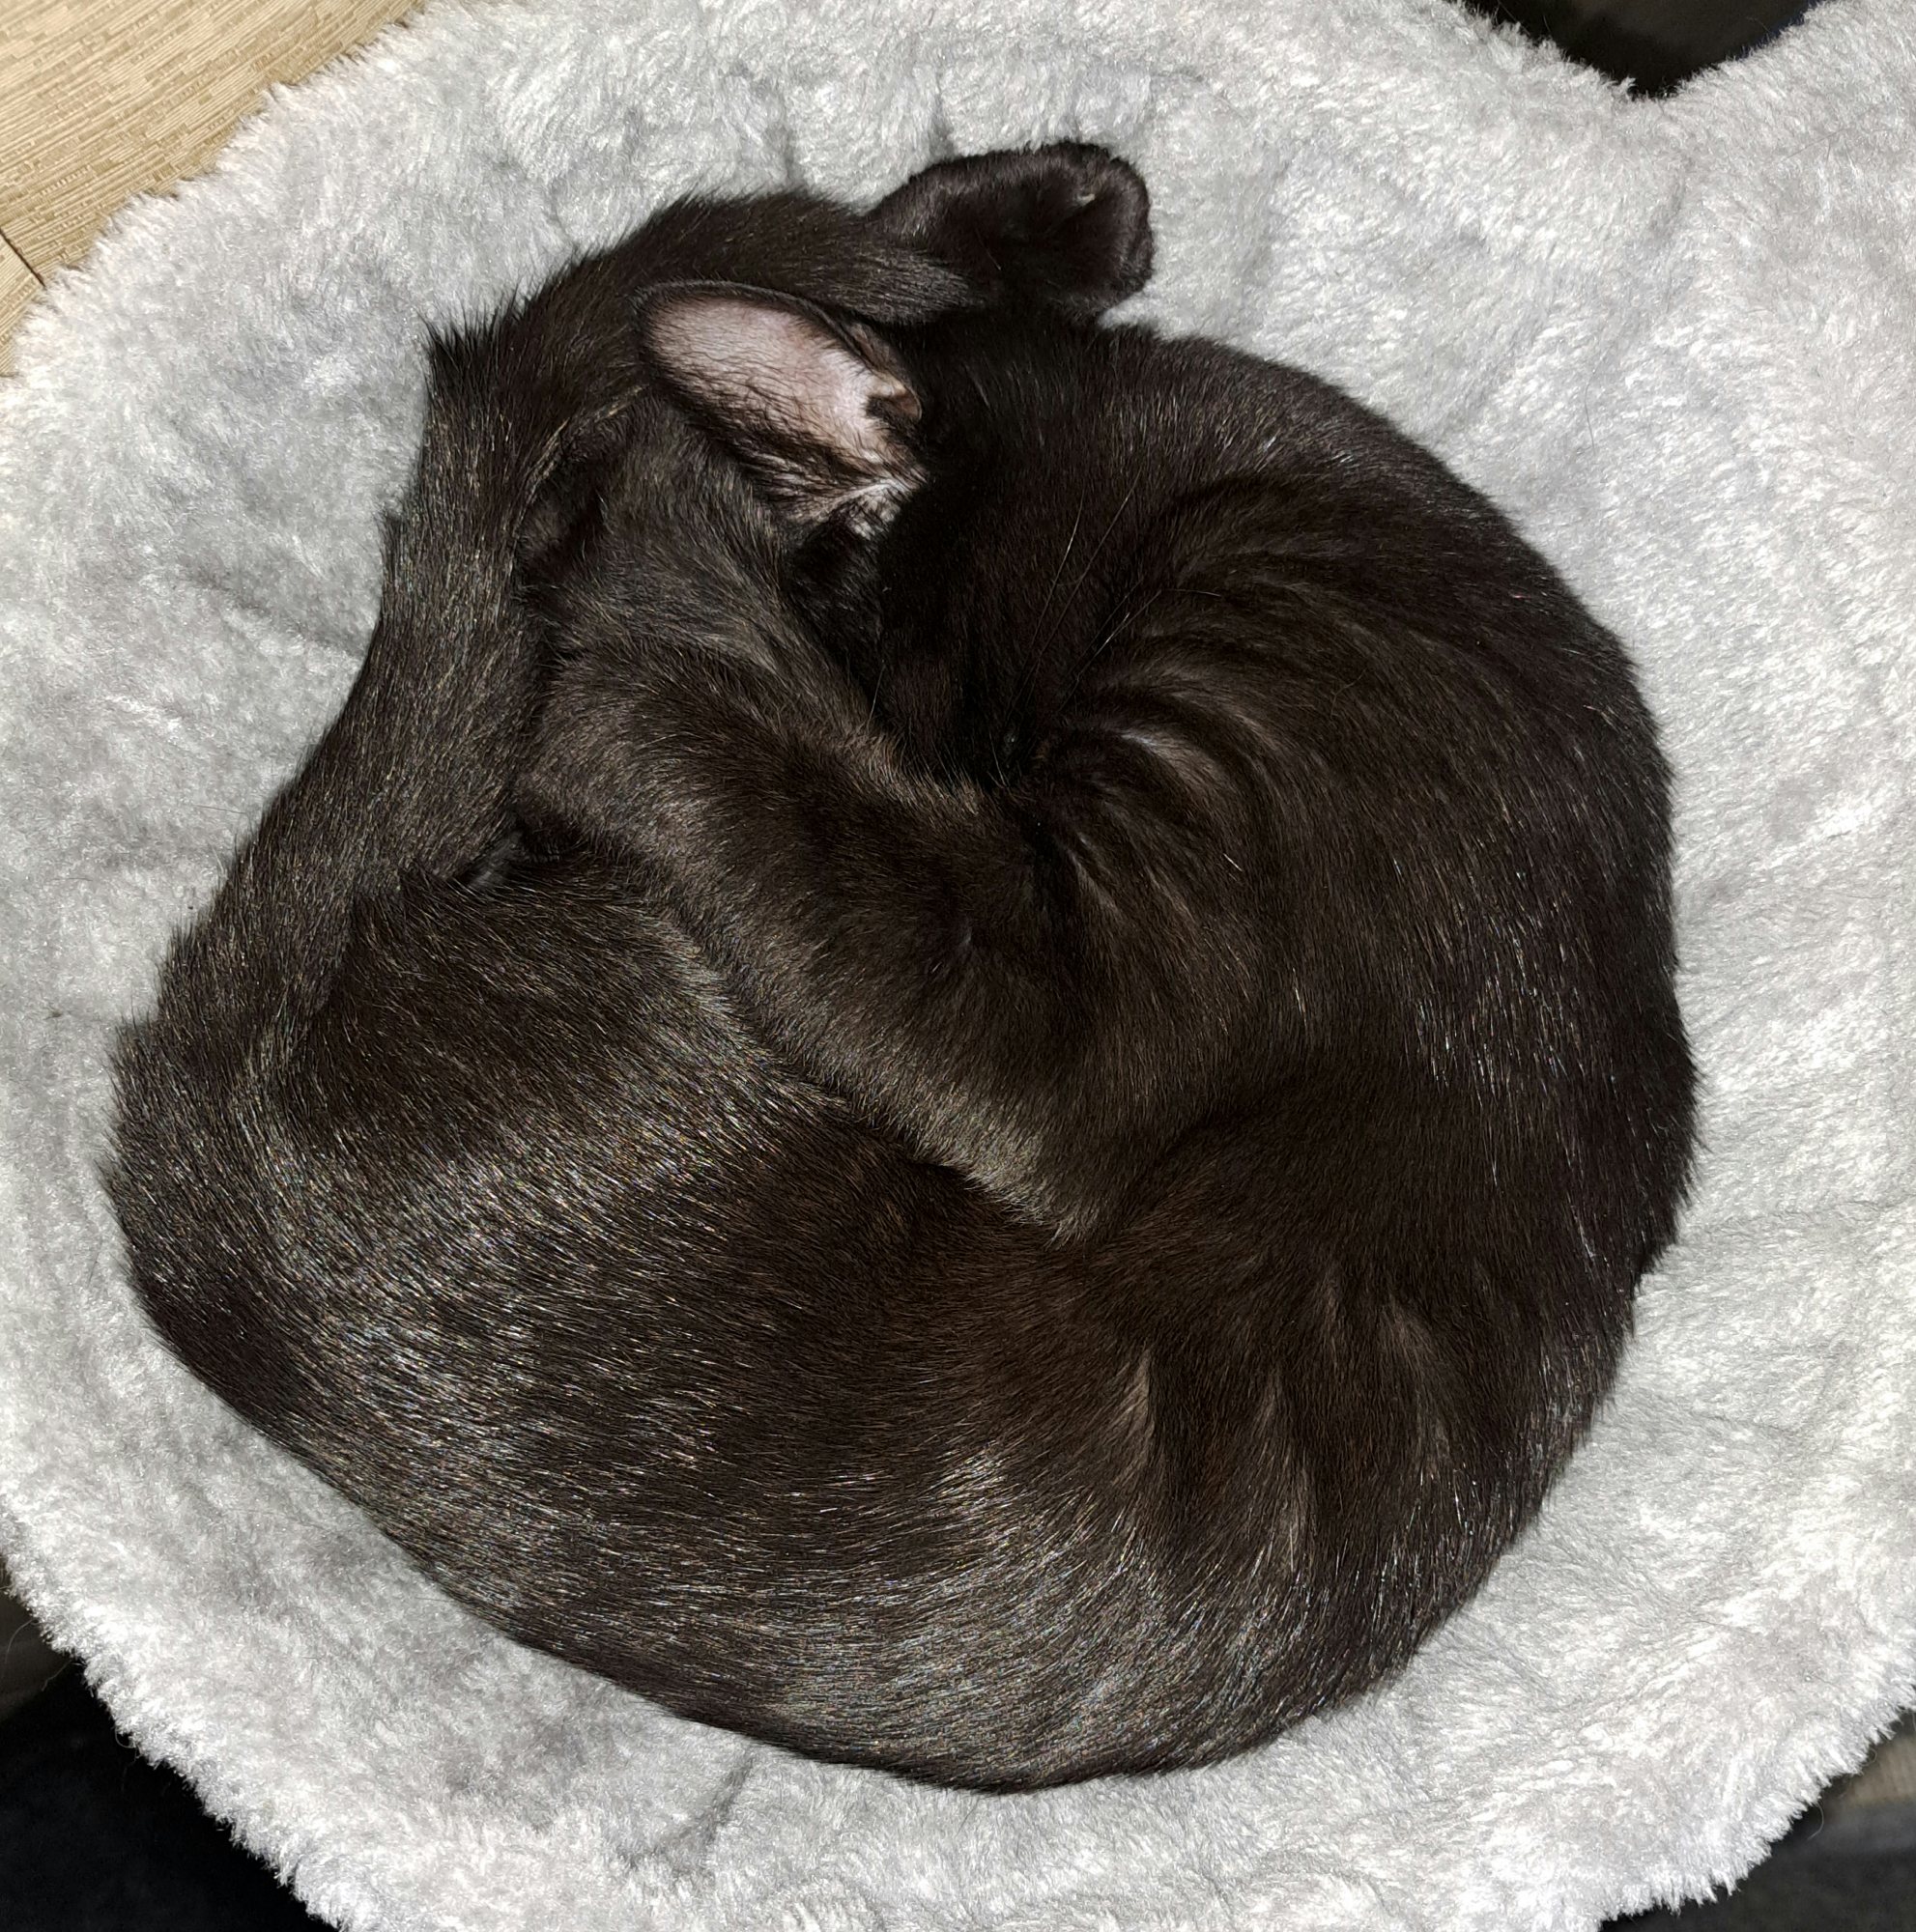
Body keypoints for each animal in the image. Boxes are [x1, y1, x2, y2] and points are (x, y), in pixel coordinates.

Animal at [107, 143, 1695, 1790]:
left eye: (882, 690)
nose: (520, 843)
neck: (1288, 500)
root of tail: (204, 1152)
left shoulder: (1074, 997)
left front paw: (622, 607)